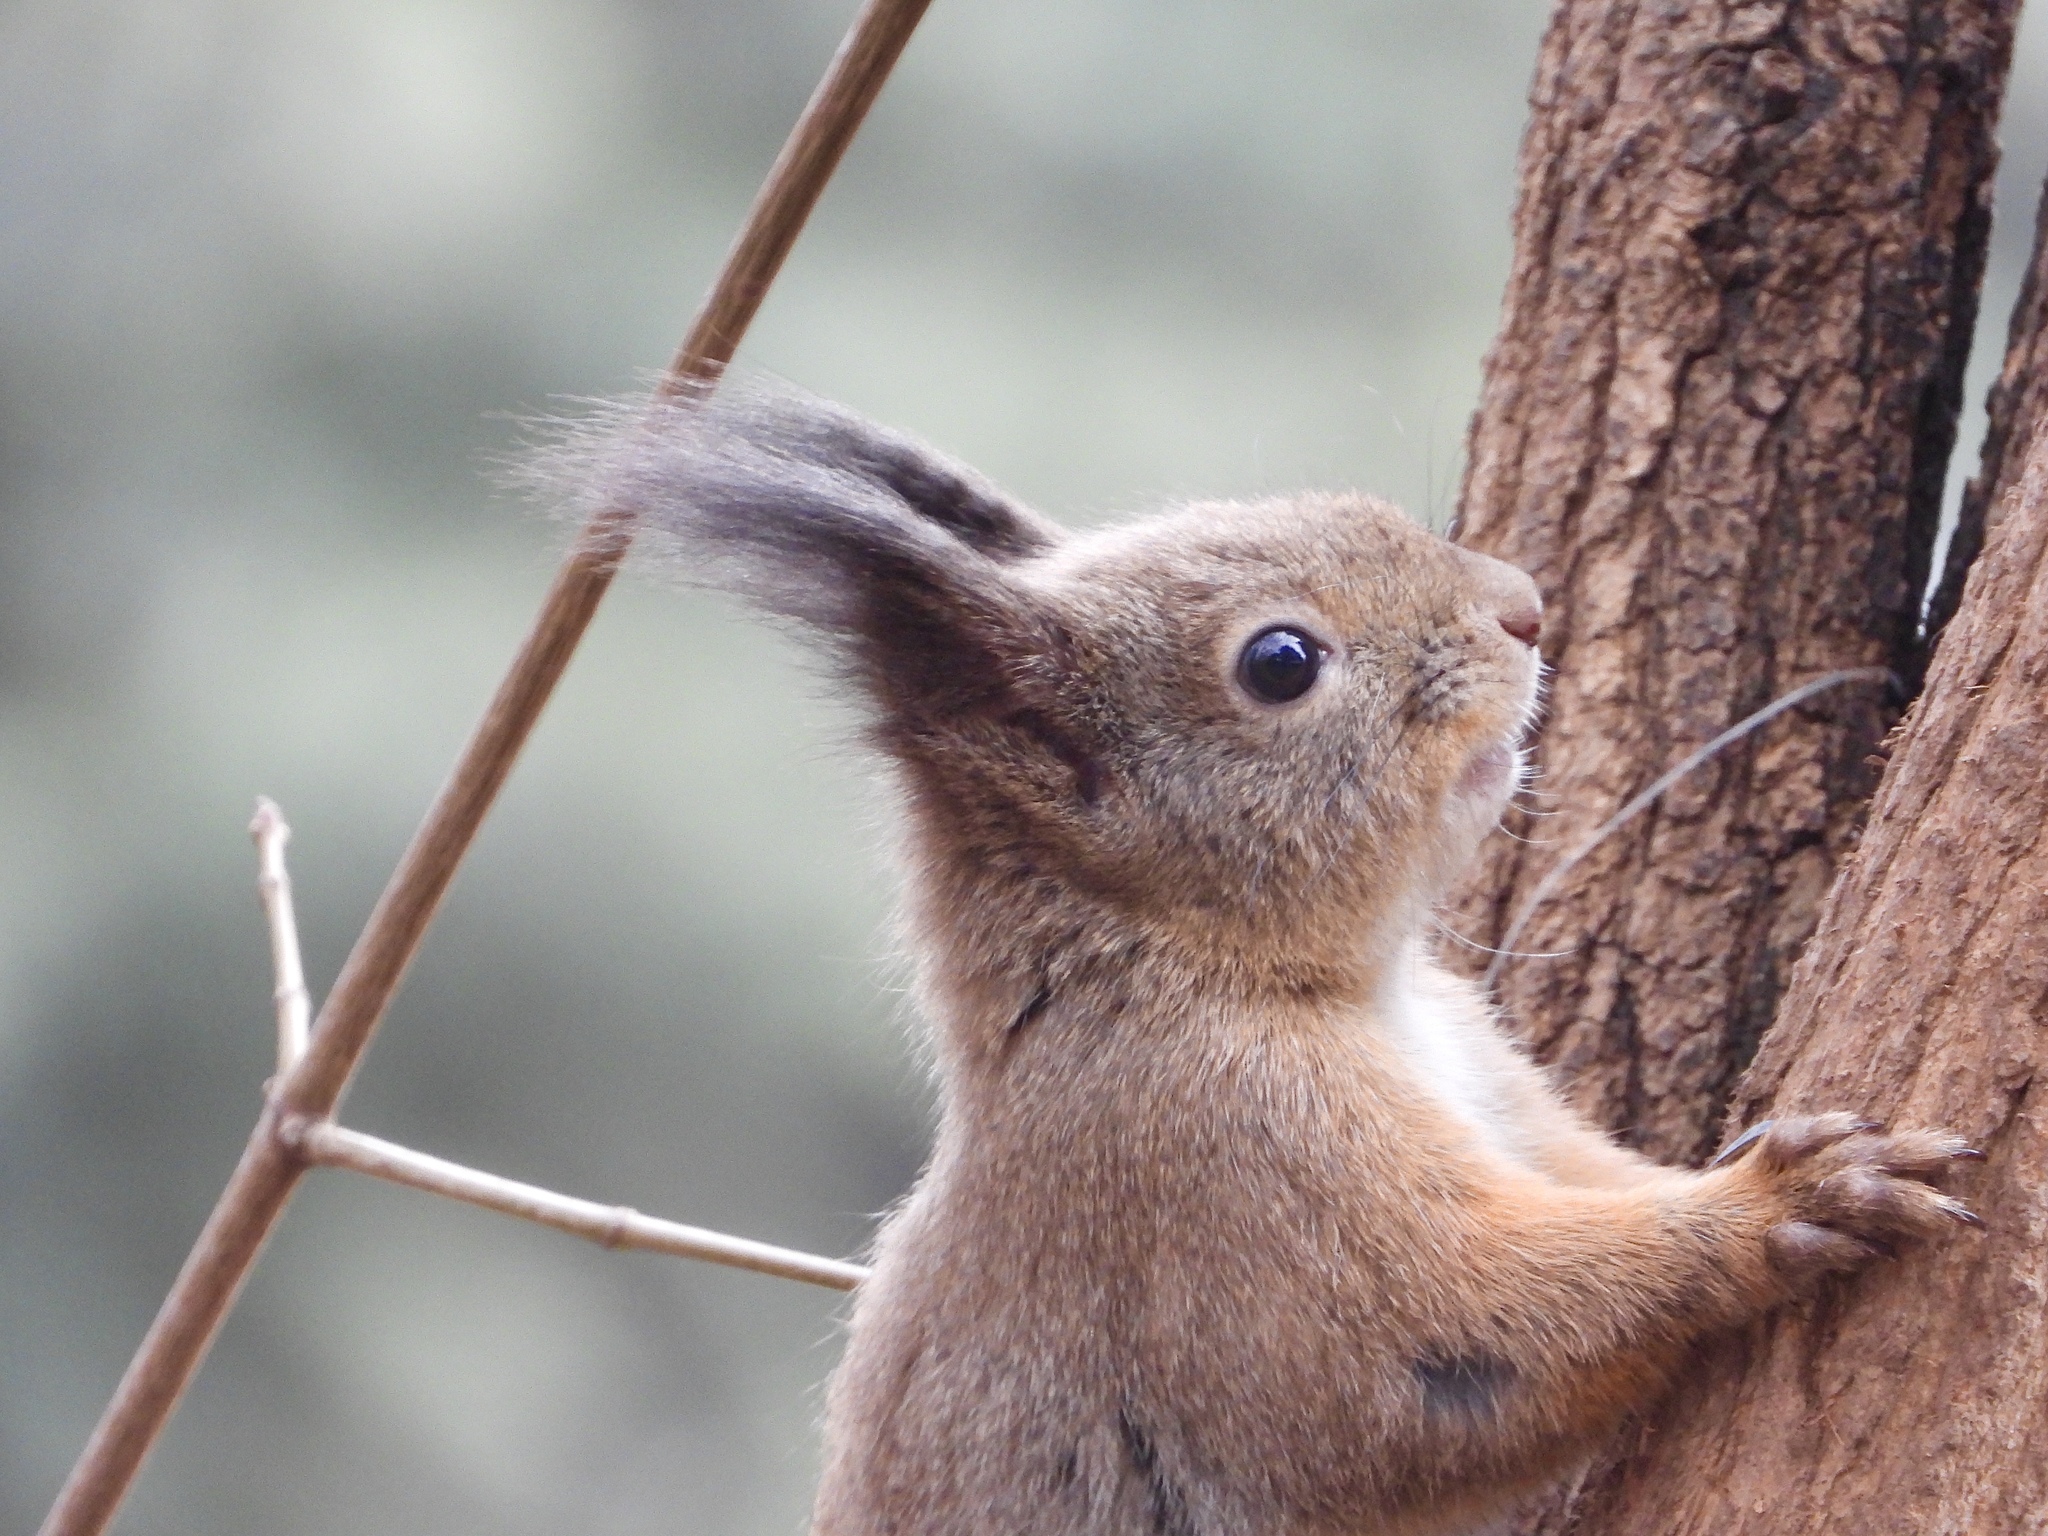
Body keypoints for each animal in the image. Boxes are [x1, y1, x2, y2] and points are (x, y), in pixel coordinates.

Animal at [544, 382, 1982, 1536]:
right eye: (1280, 662)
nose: (1523, 609)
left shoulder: (1496, 1091)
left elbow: (1599, 1179)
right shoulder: (1219, 1169)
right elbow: (1448, 1345)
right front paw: (1785, 1202)